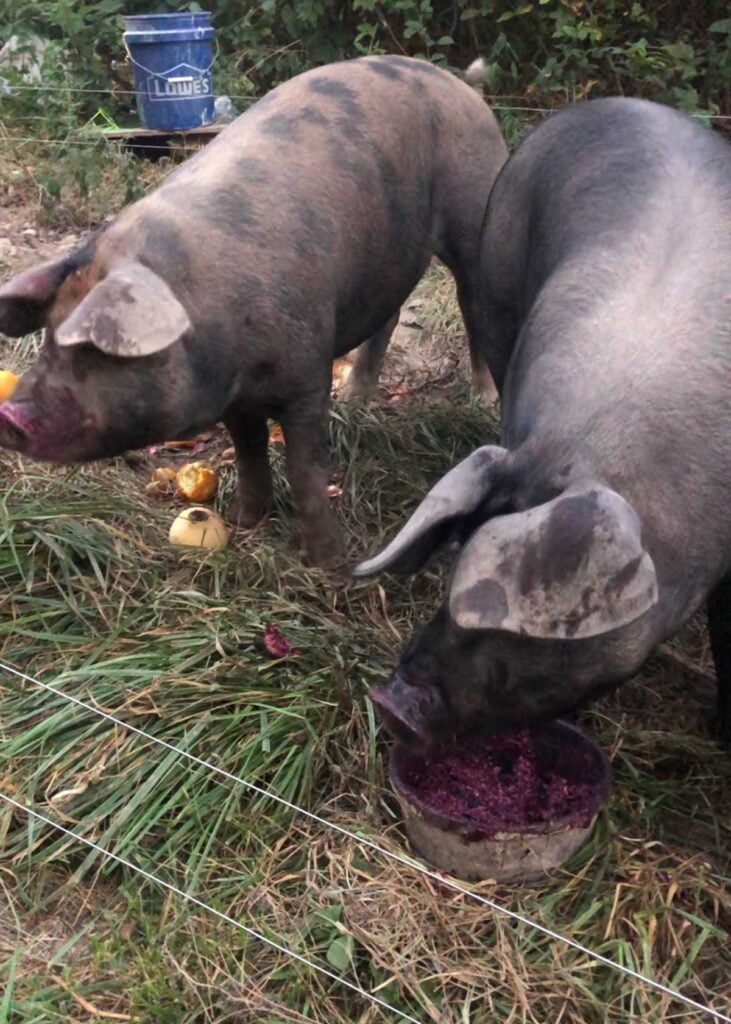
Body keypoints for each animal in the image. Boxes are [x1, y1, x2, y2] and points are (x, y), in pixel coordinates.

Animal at [0, 55, 503, 565]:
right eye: (48, 337)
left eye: (96, 349)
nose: (10, 414)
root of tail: (455, 82)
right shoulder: (236, 398)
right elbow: (249, 452)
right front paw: (245, 522)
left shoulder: (307, 374)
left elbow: (304, 468)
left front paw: (329, 561)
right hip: (389, 257)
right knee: (390, 315)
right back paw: (356, 398)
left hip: (474, 212)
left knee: (472, 307)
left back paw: (484, 398)